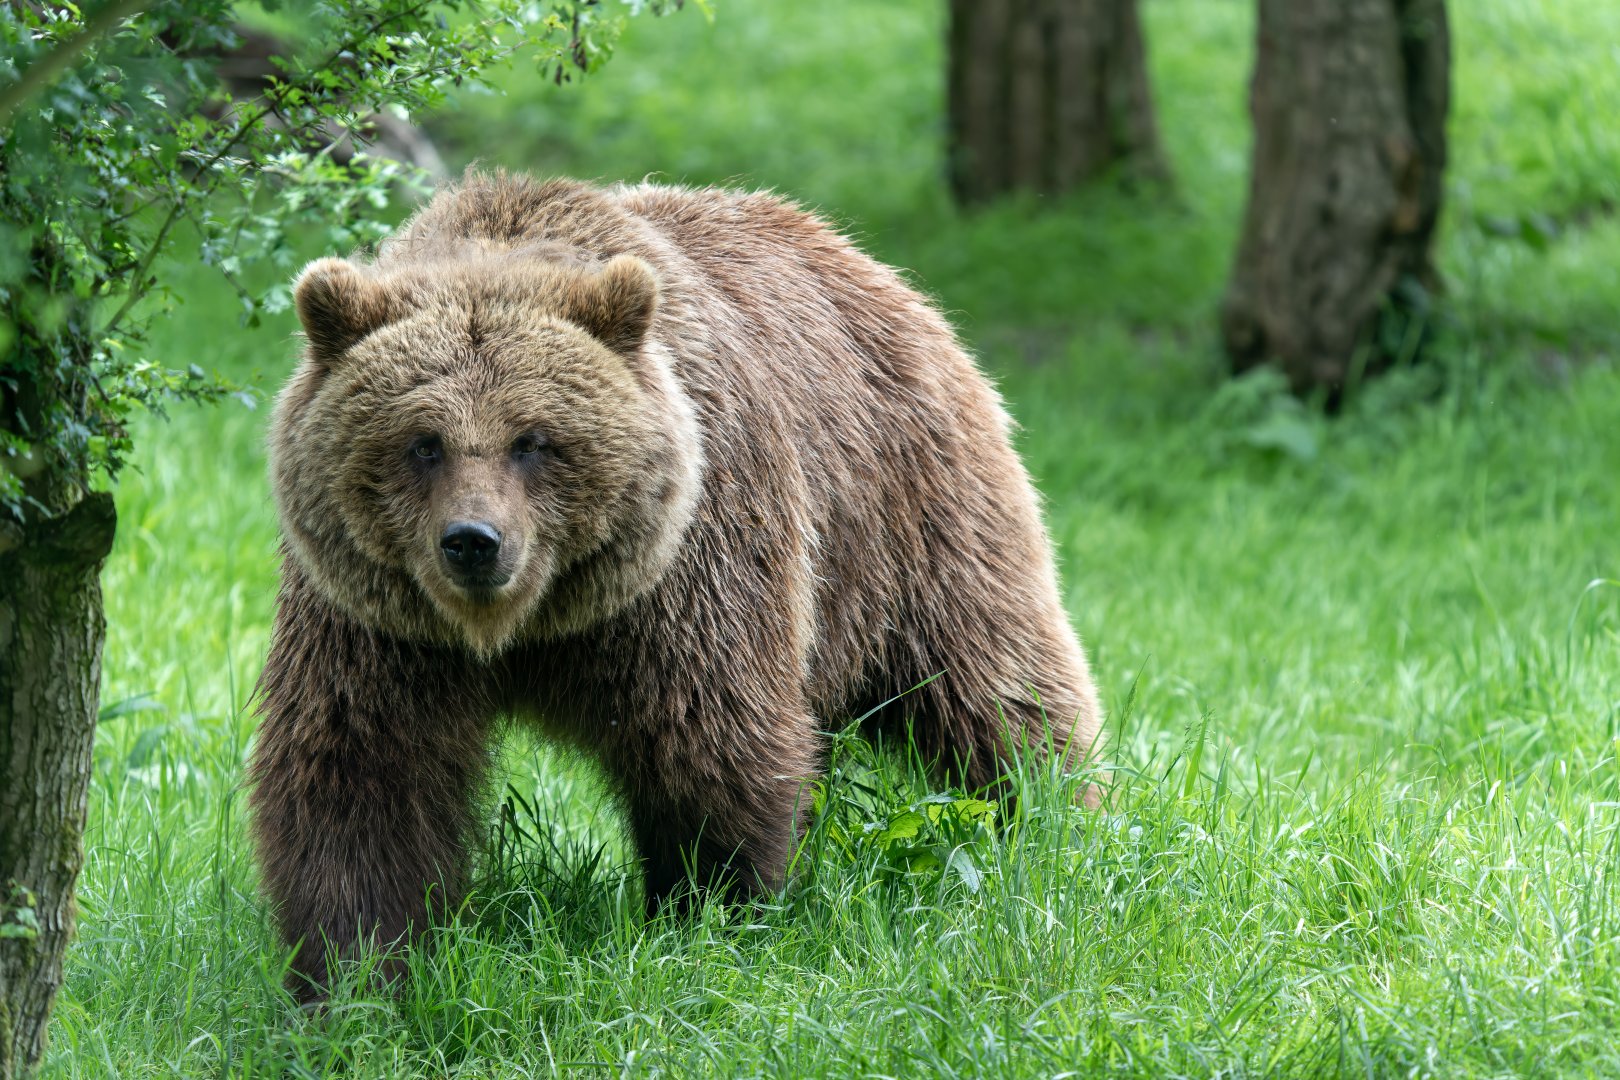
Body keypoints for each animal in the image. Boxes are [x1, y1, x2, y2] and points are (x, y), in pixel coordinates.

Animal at [249, 171, 1101, 1001]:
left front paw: (709, 915)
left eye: (534, 440)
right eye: (422, 441)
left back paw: (1057, 824)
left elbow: (709, 746)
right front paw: (354, 974)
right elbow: (361, 769)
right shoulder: (376, 620)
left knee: (993, 682)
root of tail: (870, 268)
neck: (529, 628)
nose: (473, 543)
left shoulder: (687, 577)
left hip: (909, 515)